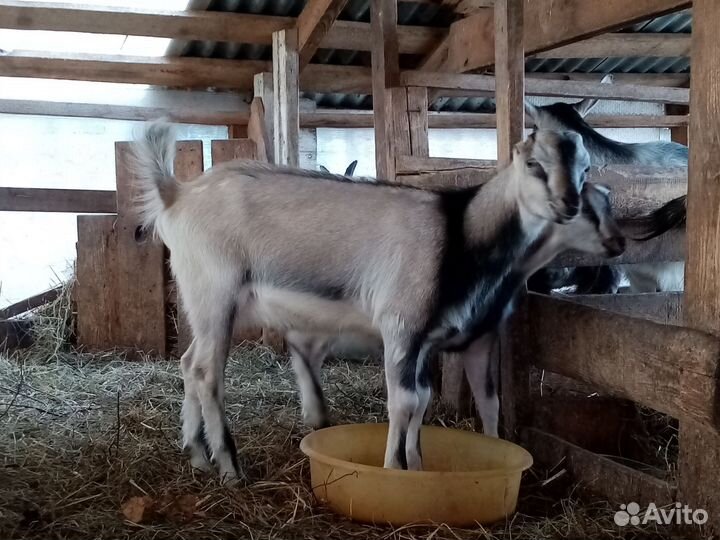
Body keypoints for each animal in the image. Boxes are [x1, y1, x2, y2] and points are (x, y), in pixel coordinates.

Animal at [287, 182, 625, 435]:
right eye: (584, 207)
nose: (619, 242)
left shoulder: (480, 337)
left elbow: (488, 402)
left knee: (307, 348)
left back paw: (315, 413)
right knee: (302, 345)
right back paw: (315, 412)